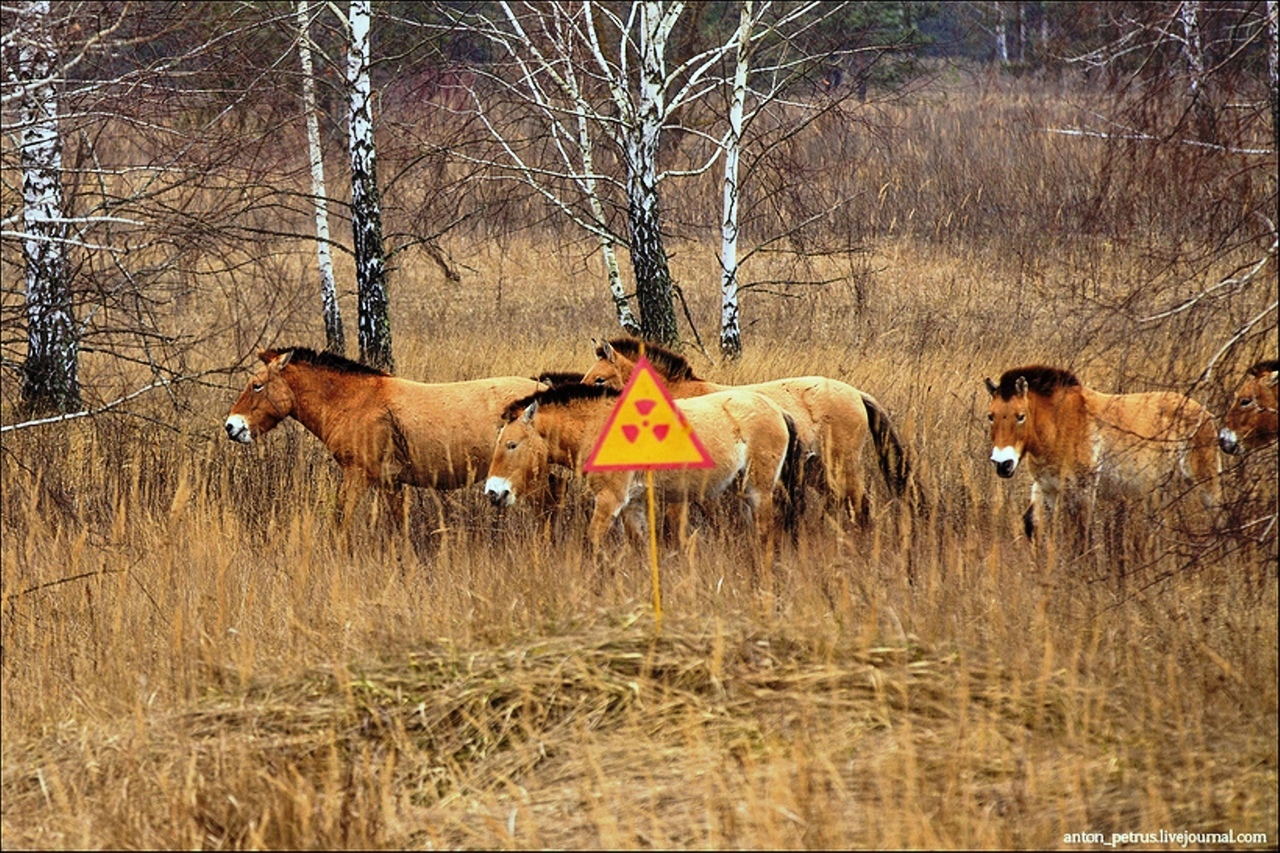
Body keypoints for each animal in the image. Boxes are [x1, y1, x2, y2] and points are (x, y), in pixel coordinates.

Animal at [226, 345, 545, 525]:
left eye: (256, 385)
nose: (231, 426)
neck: (355, 401)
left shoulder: (357, 476)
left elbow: (340, 522)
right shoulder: (391, 483)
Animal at [481, 384, 798, 550]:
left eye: (511, 444)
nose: (494, 493)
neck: (598, 427)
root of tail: (776, 409)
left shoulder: (610, 500)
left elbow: (592, 541)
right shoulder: (631, 504)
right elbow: (638, 545)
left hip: (759, 490)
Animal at [983, 361, 1223, 535]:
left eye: (1021, 416)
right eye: (991, 416)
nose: (1002, 464)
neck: (1058, 424)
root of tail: (1205, 413)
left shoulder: (1082, 489)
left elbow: (1082, 534)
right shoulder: (1045, 487)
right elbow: (1032, 524)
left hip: (1206, 484)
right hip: (1160, 490)